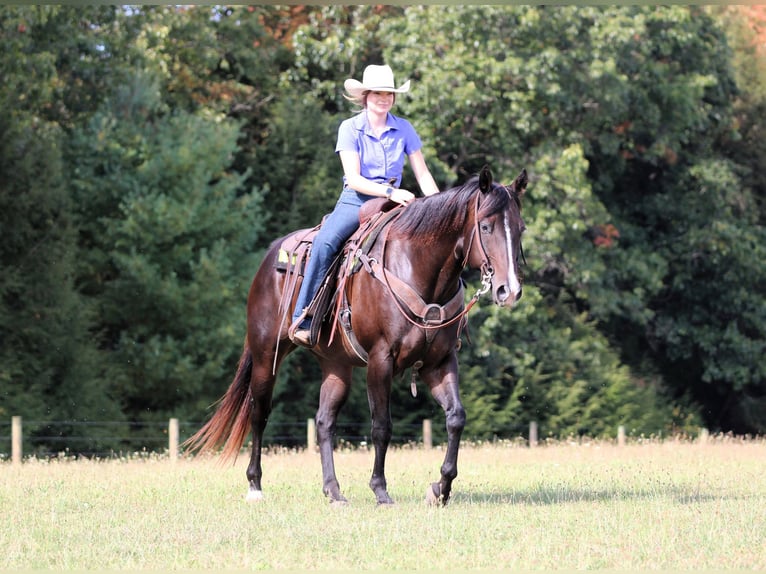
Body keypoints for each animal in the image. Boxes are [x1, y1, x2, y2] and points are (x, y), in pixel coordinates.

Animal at [184, 165, 528, 506]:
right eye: (485, 226)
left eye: (521, 228)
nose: (509, 291)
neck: (416, 269)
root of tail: (270, 256)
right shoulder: (380, 359)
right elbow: (381, 426)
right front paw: (380, 489)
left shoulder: (439, 362)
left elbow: (456, 417)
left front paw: (440, 488)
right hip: (266, 354)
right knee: (259, 412)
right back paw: (255, 486)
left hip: (336, 365)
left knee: (324, 422)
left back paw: (333, 491)